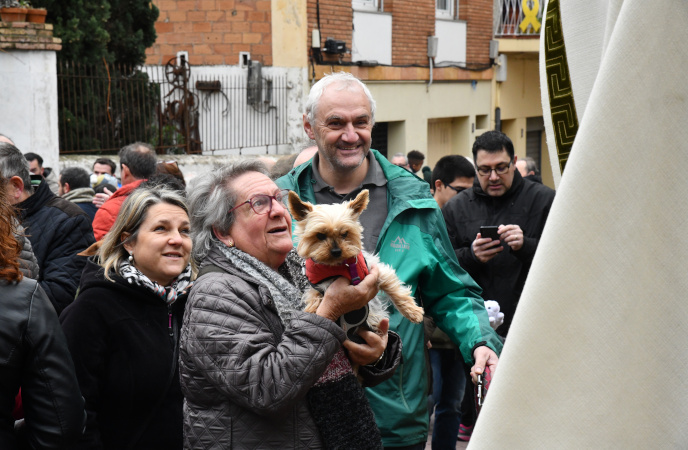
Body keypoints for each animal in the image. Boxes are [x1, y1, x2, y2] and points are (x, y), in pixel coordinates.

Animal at [286, 189, 424, 342]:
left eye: (345, 233)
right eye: (320, 235)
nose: (336, 251)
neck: (339, 266)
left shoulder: (374, 268)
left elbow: (393, 288)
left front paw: (413, 311)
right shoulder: (318, 285)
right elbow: (313, 296)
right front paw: (312, 313)